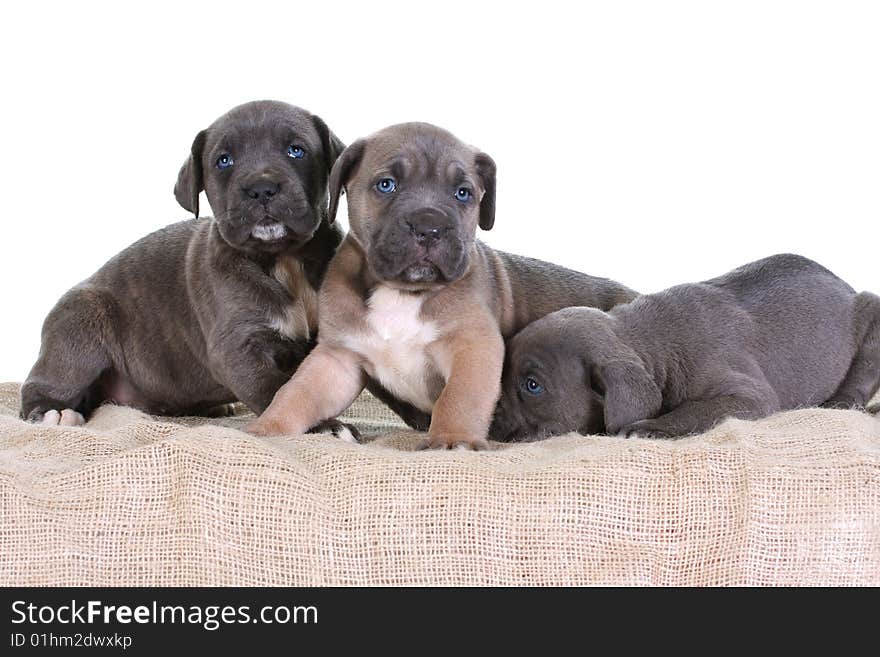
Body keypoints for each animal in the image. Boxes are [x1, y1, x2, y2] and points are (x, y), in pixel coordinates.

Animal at [20, 98, 344, 426]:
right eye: (224, 160)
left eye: (296, 150)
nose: (261, 188)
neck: (283, 258)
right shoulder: (238, 348)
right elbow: (279, 390)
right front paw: (327, 428)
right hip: (80, 325)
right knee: (41, 384)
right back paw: (53, 412)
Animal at [248, 120, 640, 448]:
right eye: (386, 185)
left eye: (463, 193)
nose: (429, 226)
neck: (402, 293)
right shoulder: (337, 359)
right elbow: (297, 392)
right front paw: (267, 429)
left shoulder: (473, 346)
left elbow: (458, 398)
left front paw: (452, 439)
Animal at [492, 252, 880, 440]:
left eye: (532, 385)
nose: (488, 409)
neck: (648, 342)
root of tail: (846, 287)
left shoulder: (747, 395)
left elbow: (696, 410)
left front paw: (652, 428)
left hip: (871, 314)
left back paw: (840, 402)